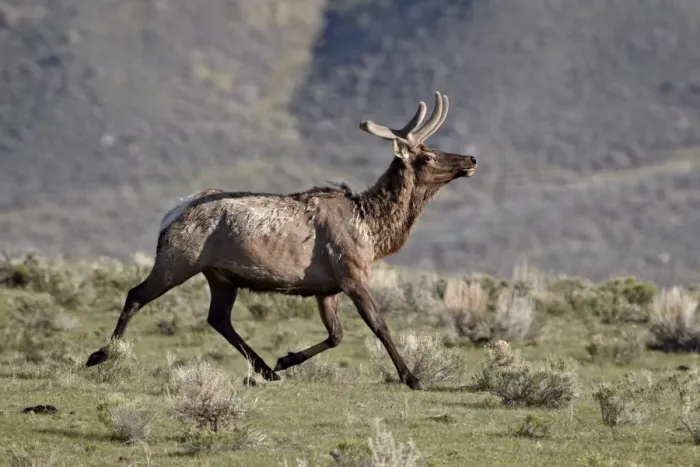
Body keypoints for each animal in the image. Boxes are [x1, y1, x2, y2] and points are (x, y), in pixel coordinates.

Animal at [85, 91, 477, 390]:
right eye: (428, 155)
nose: (471, 158)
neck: (373, 231)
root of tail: (171, 214)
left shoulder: (327, 288)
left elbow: (337, 335)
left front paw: (286, 359)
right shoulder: (352, 274)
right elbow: (378, 326)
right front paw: (412, 378)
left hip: (220, 276)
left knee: (218, 318)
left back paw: (266, 370)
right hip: (178, 259)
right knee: (136, 294)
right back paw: (100, 354)